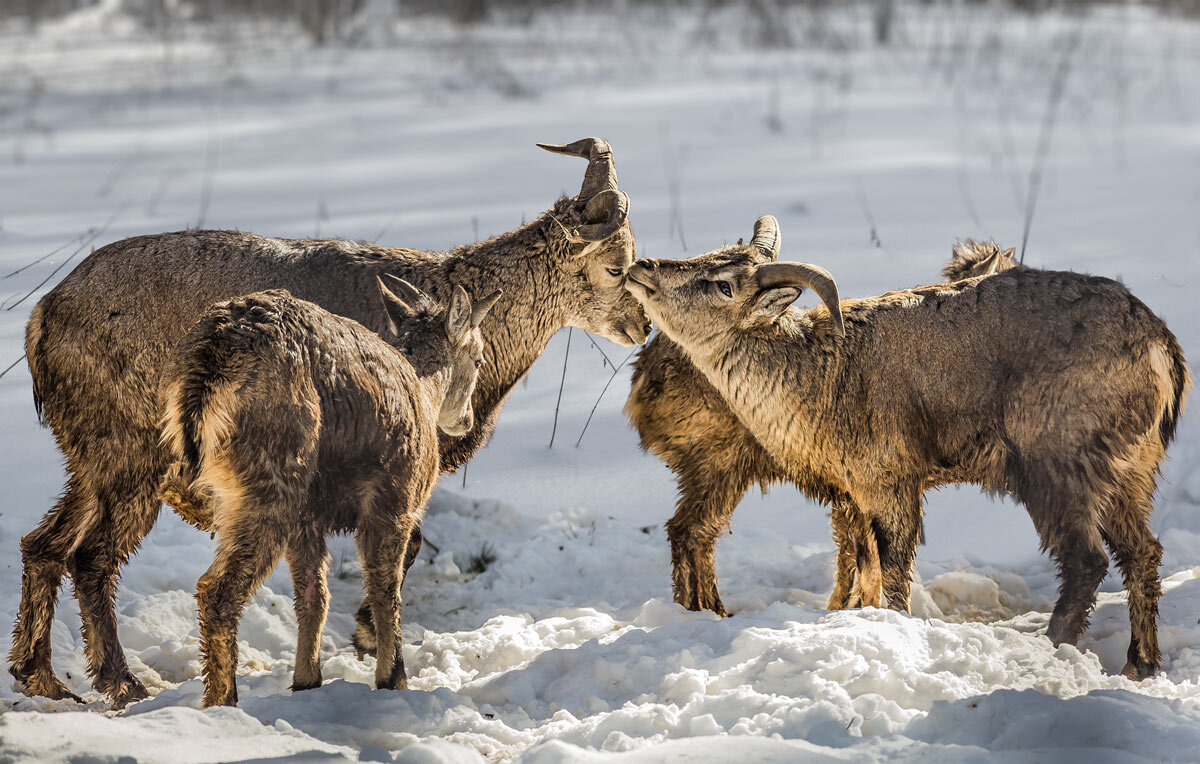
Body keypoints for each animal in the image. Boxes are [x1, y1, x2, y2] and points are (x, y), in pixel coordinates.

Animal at [162, 277, 499, 705]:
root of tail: (212, 359)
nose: (467, 420)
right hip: (274, 473)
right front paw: (391, 674)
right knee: (217, 590)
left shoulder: (310, 518)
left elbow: (314, 596)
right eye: (479, 359)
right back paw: (224, 701)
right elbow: (387, 586)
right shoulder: (394, 497)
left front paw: (307, 680)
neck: (424, 389)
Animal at [628, 215, 1190, 681]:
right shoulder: (854, 491)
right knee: (1142, 551)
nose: (642, 267)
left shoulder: (889, 480)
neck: (821, 375)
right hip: (1130, 471)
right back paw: (1140, 663)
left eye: (724, 284)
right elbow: (870, 564)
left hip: (1057, 465)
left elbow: (892, 567)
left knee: (1086, 561)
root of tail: (1161, 348)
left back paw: (1050, 648)